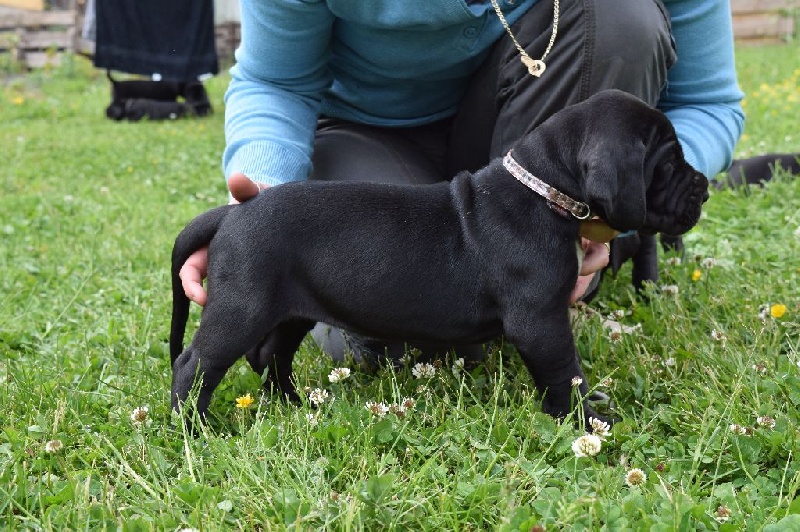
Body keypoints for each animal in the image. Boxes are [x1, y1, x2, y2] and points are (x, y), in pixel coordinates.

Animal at [167, 89, 708, 426]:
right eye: (667, 162)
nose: (703, 187)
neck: (543, 190)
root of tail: (233, 213)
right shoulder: (540, 320)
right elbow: (563, 370)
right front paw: (586, 419)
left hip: (291, 308)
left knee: (271, 356)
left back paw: (296, 405)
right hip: (243, 306)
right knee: (196, 363)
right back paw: (194, 429)